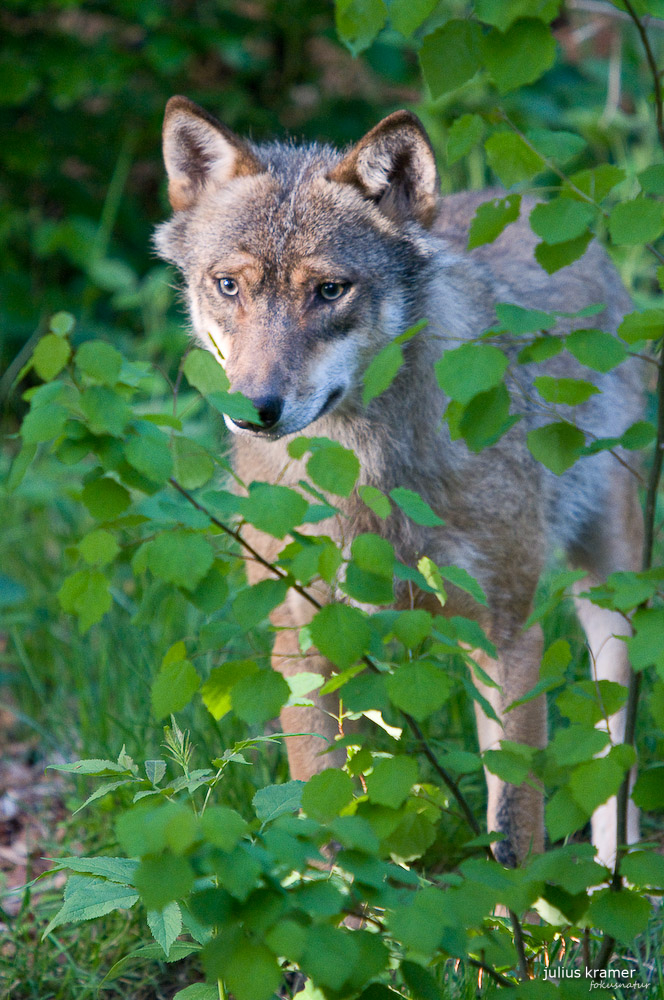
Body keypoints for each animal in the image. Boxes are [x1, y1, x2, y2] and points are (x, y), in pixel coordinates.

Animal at [156, 97, 644, 872]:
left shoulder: (511, 633)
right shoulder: (304, 643)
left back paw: (612, 882)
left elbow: (515, 830)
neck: (361, 472)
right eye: (229, 286)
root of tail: (533, 202)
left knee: (614, 759)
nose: (255, 409)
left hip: (613, 601)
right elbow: (326, 817)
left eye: (330, 291)